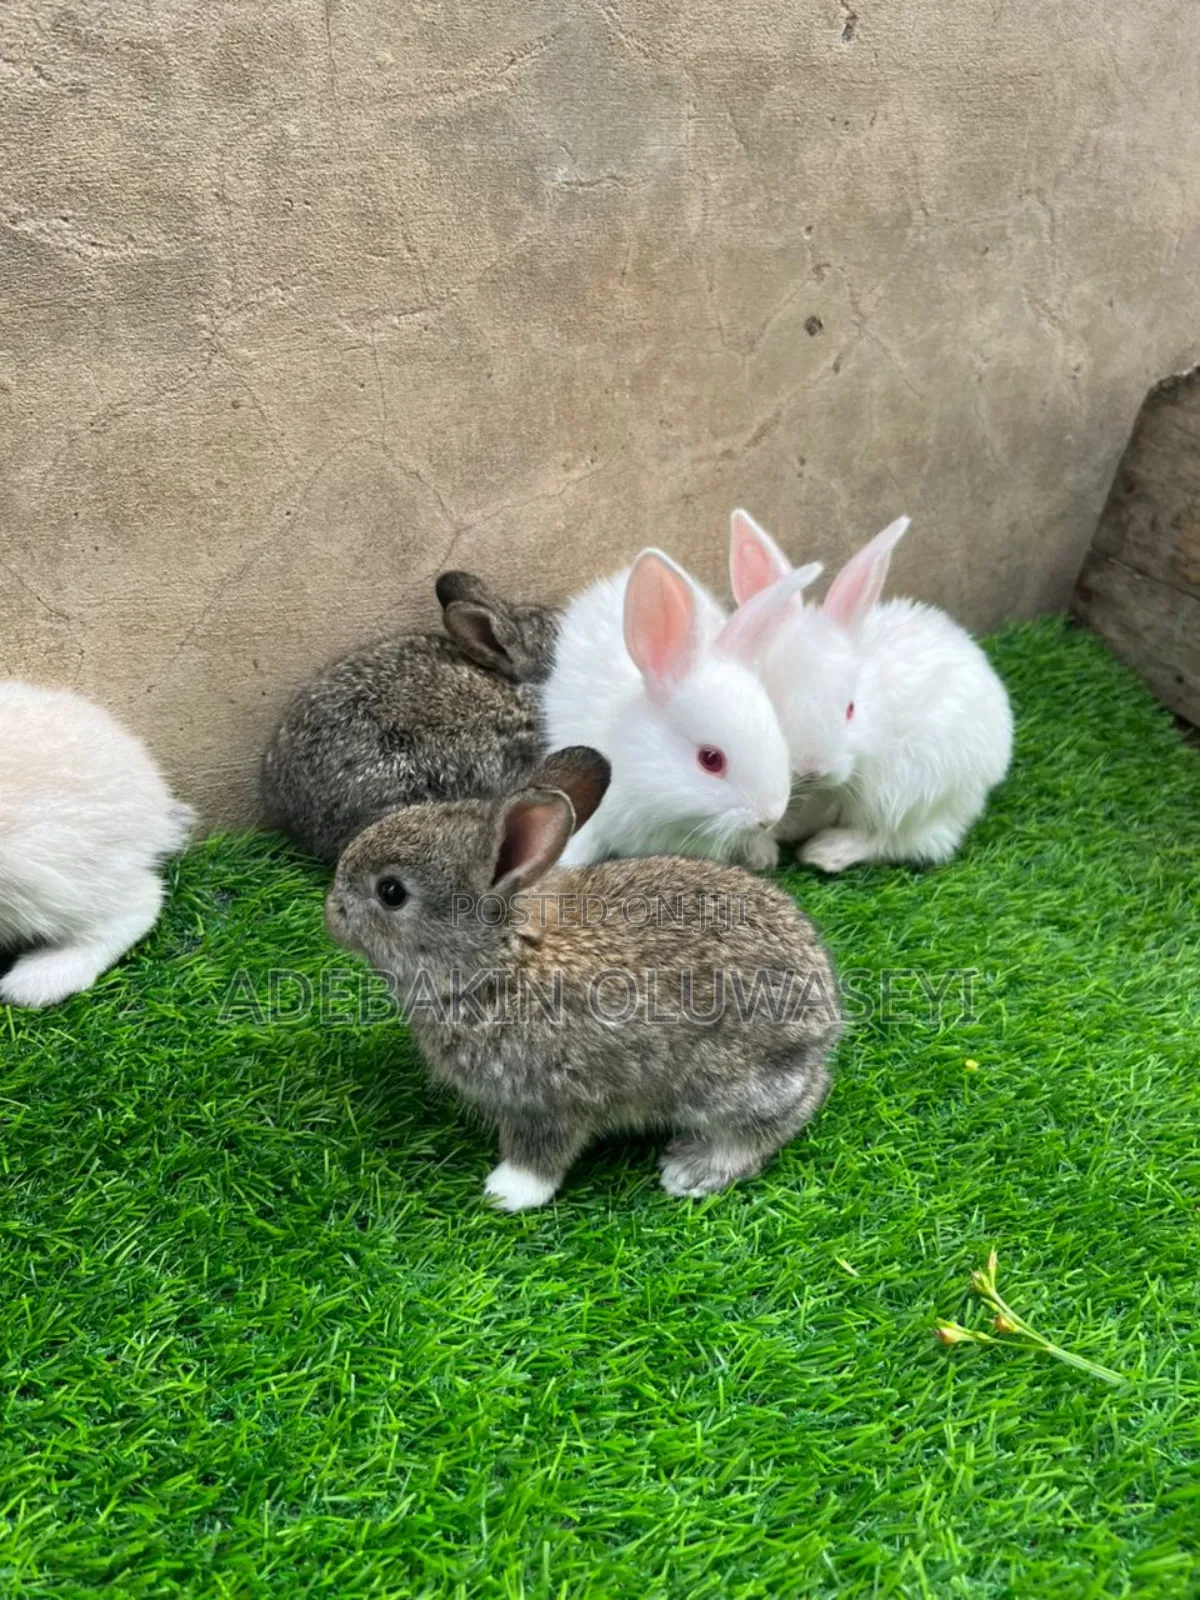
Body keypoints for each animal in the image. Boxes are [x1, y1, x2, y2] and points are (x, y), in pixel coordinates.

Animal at [324, 745, 841, 1210]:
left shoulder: (548, 1101)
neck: (502, 961)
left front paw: (506, 1193)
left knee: (773, 1121)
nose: (332, 911)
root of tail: (826, 1021)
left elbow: (538, 1155)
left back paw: (694, 1169)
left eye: (391, 892)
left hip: (730, 1084)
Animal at [727, 508, 1014, 871]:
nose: (812, 768)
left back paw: (827, 852)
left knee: (903, 842)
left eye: (851, 709)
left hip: (921, 794)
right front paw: (760, 855)